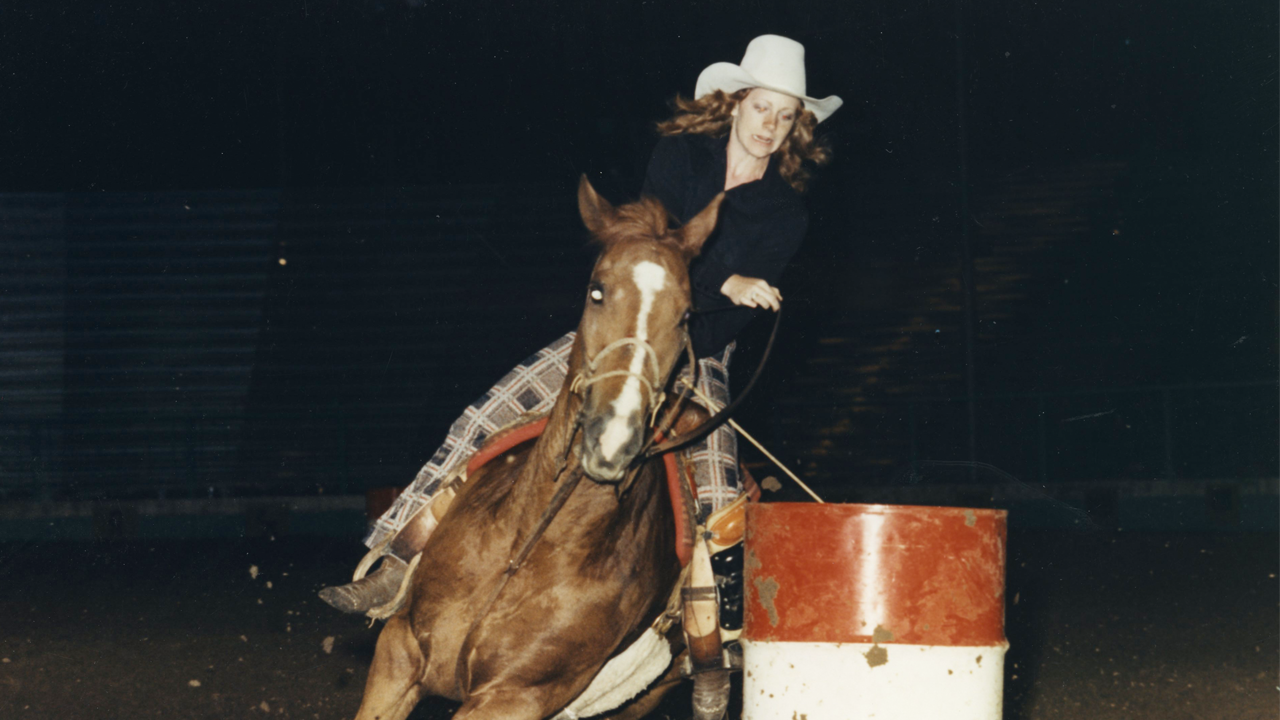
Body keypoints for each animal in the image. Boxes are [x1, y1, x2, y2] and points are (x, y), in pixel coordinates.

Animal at [355, 175, 727, 717]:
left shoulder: (512, 698)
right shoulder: (399, 652)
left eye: (686, 316)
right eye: (596, 291)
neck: (528, 549)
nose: (613, 437)